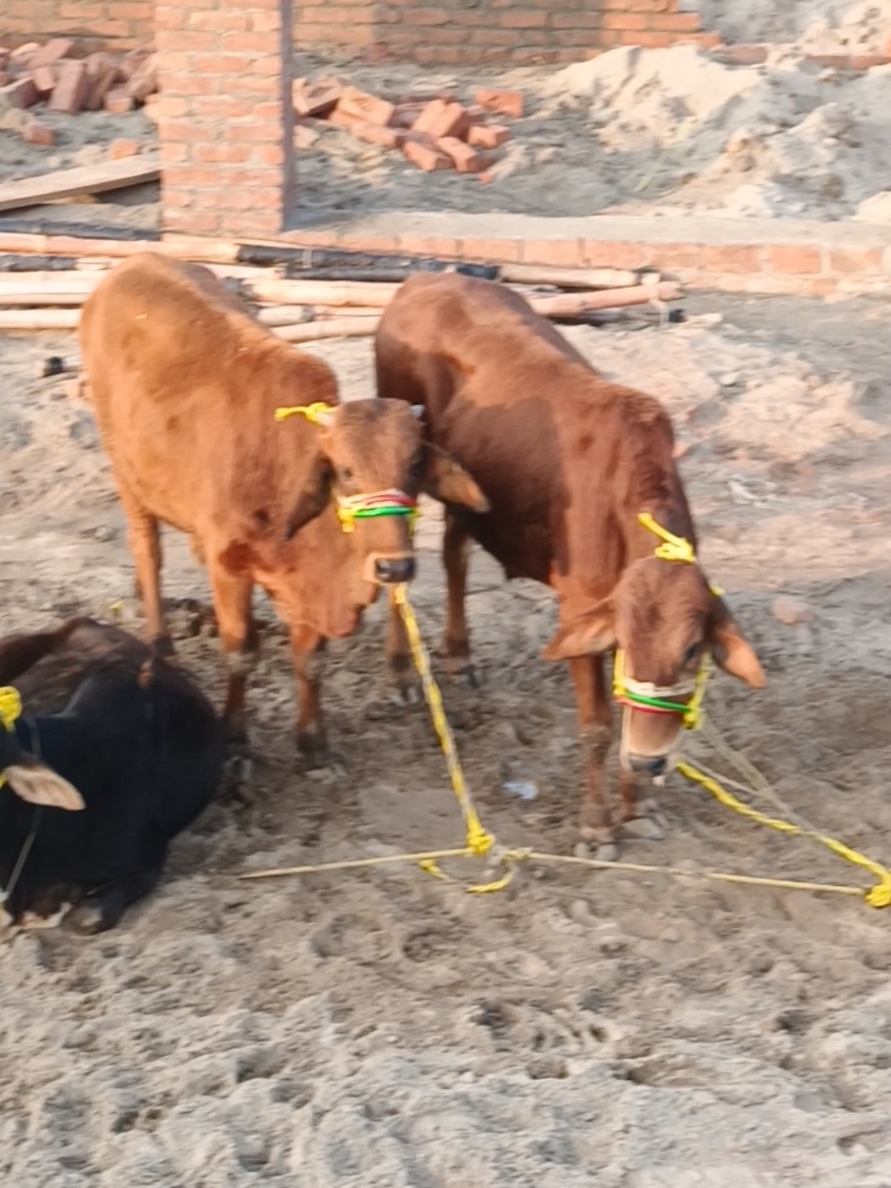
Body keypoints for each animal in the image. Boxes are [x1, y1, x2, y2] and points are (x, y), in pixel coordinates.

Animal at [81, 255, 489, 765]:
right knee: (147, 552)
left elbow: (309, 661)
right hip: (128, 476)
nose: (394, 569)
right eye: (345, 471)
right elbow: (240, 652)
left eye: (415, 466)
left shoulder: (305, 587)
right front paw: (235, 736)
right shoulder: (230, 567)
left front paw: (312, 738)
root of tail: (131, 265)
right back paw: (160, 639)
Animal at [373, 273, 765, 860]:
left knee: (454, 552)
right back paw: (400, 673)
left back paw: (459, 656)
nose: (650, 761)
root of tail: (423, 280)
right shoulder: (579, 607)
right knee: (399, 566)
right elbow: (599, 725)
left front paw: (637, 805)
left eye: (693, 650)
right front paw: (598, 825)